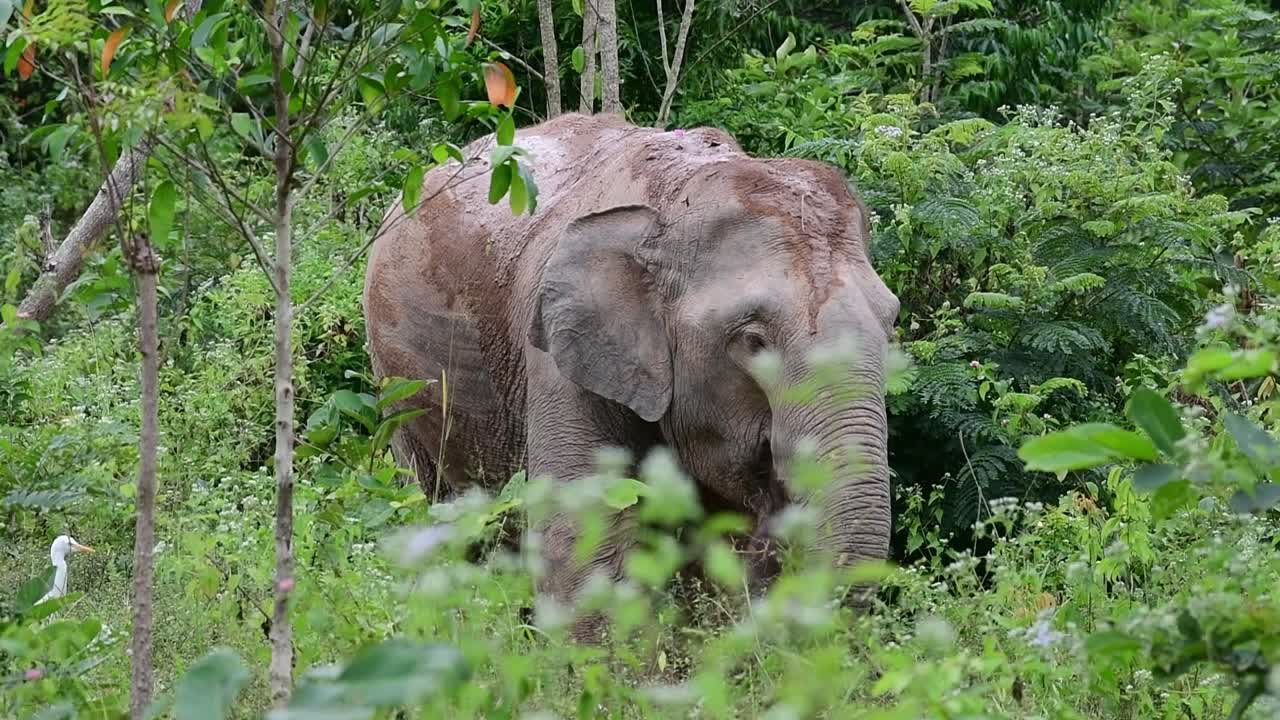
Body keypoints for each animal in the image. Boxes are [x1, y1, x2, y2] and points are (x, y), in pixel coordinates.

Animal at [363, 112, 899, 637]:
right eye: (753, 340)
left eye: (891, 321)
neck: (673, 202)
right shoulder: (560, 360)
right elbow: (580, 538)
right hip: (397, 384)